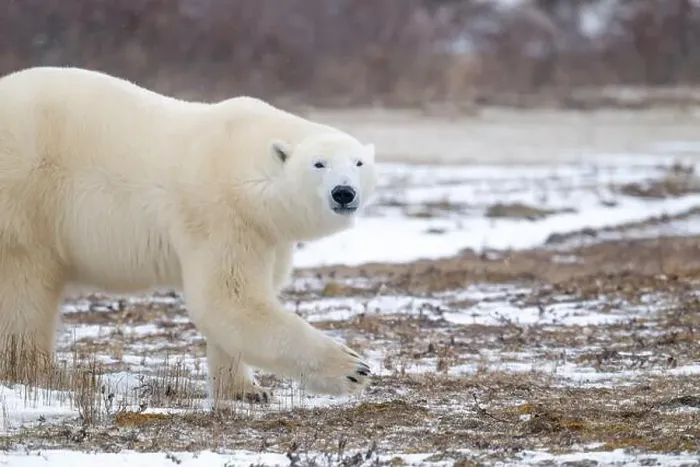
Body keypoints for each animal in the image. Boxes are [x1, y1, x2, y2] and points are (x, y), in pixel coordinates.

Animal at [0, 66, 378, 404]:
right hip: (26, 197)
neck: (245, 168)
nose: (344, 193)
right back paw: (35, 371)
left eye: (359, 163)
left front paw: (247, 390)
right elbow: (228, 299)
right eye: (319, 164)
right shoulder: (221, 214)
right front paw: (352, 368)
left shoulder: (266, 232)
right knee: (24, 292)